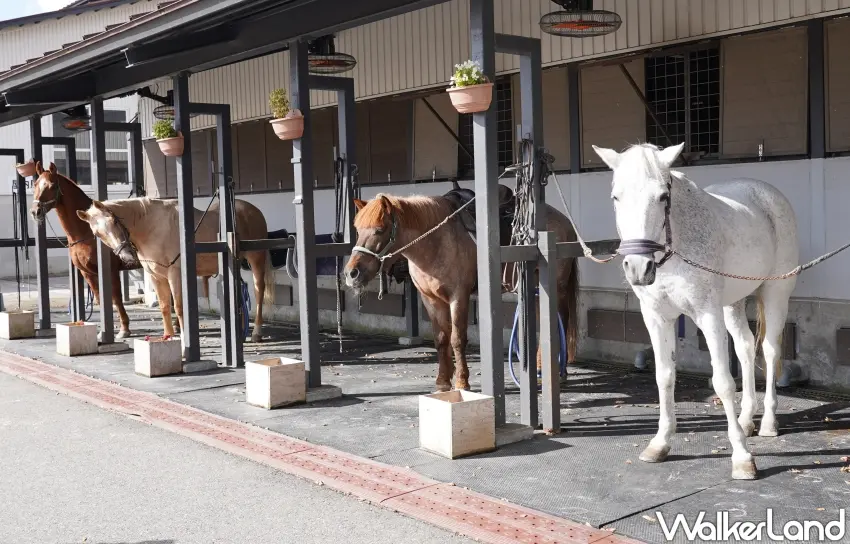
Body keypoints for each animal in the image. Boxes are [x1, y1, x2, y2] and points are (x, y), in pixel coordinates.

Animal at [29, 161, 140, 339]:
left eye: (52, 185)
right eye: (35, 184)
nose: (35, 211)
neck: (87, 232)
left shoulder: (111, 271)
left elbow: (116, 298)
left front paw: (124, 329)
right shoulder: (88, 273)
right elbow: (101, 299)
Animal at [75, 197, 274, 344]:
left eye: (114, 220)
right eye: (97, 233)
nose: (126, 255)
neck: (152, 227)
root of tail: (254, 210)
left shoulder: (175, 274)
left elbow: (178, 307)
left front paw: (185, 340)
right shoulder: (156, 276)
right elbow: (164, 307)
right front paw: (168, 337)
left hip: (256, 259)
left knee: (259, 291)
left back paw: (256, 333)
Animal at [343, 189, 579, 393]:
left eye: (380, 229)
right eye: (357, 230)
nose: (351, 273)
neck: (436, 242)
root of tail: (564, 221)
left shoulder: (459, 297)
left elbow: (457, 339)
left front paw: (462, 382)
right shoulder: (431, 299)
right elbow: (441, 339)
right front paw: (442, 381)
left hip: (556, 286)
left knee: (561, 319)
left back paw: (560, 372)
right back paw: (540, 367)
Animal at [592, 142, 799, 480]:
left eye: (663, 196)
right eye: (615, 197)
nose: (638, 268)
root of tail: (769, 194)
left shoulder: (708, 315)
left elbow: (723, 383)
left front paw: (742, 457)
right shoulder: (656, 317)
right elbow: (664, 377)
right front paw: (660, 443)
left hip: (775, 293)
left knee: (769, 351)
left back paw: (768, 422)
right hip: (733, 303)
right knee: (745, 348)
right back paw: (746, 420)